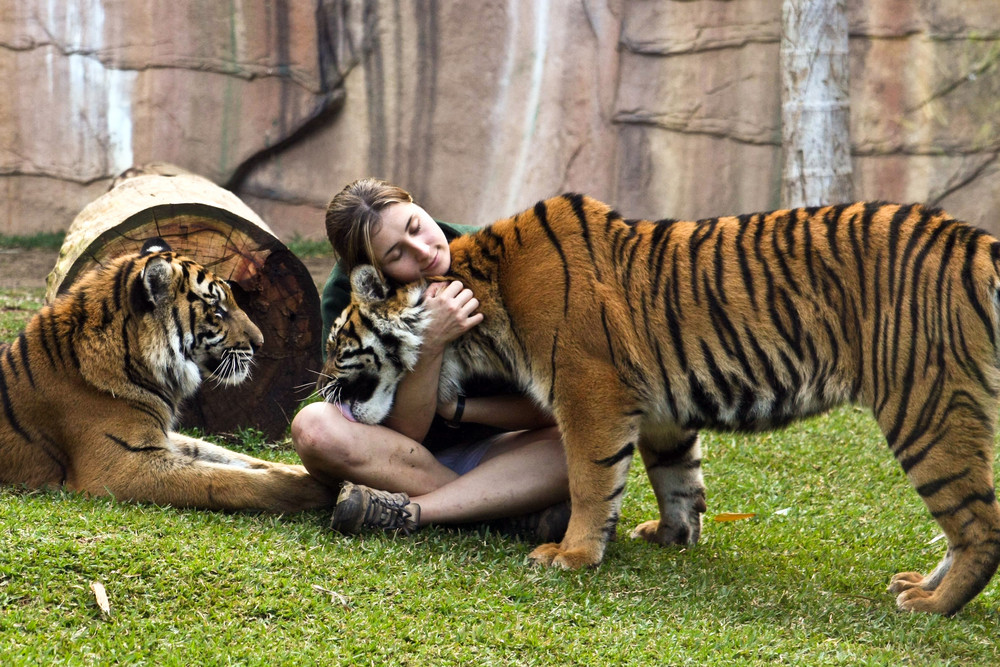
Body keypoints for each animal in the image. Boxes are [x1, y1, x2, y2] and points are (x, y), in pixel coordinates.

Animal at [0, 239, 336, 512]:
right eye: (217, 310)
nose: (261, 342)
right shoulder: (121, 465)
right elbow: (225, 481)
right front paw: (317, 488)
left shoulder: (161, 436)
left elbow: (228, 456)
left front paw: (303, 471)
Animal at [316, 196, 1000, 620]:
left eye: (336, 342)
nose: (317, 385)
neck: (483, 302)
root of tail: (971, 241)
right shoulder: (661, 407)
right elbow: (676, 475)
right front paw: (673, 536)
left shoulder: (589, 392)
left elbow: (591, 480)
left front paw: (571, 556)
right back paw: (919, 585)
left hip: (924, 406)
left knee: (979, 524)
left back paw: (932, 606)